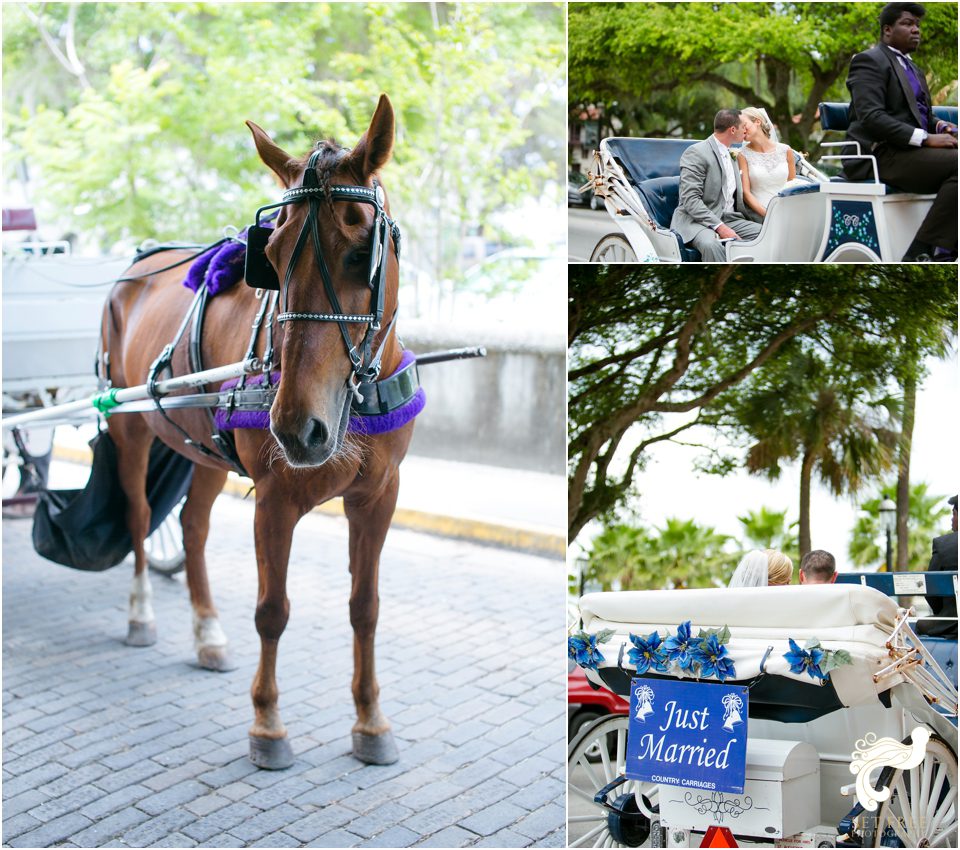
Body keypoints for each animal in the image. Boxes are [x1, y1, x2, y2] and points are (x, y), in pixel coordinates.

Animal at [103, 94, 410, 768]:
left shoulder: (378, 496)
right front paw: (267, 724)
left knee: (192, 528)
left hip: (204, 451)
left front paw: (371, 720)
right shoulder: (274, 498)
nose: (298, 429)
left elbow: (367, 608)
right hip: (129, 426)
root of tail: (140, 260)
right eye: (267, 260)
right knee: (140, 516)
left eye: (363, 255)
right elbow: (273, 610)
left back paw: (207, 631)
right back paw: (140, 615)